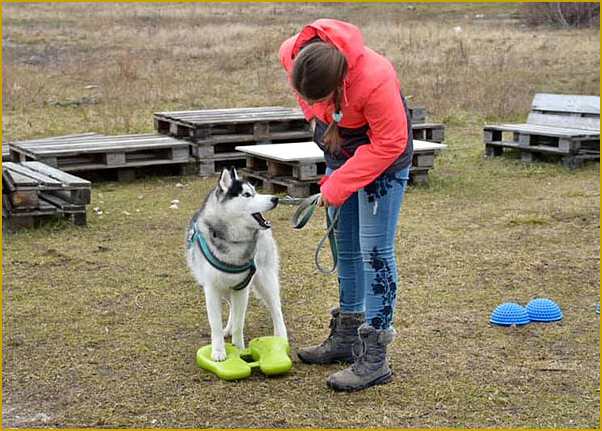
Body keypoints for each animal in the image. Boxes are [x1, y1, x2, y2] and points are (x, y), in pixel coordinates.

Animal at [185, 167, 286, 362]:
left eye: (256, 191)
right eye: (247, 194)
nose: (275, 199)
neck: (233, 241)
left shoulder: (242, 288)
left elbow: (240, 321)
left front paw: (239, 348)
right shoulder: (212, 289)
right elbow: (215, 324)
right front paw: (218, 350)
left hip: (265, 280)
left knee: (276, 307)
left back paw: (281, 335)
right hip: (225, 288)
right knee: (231, 306)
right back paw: (228, 329)